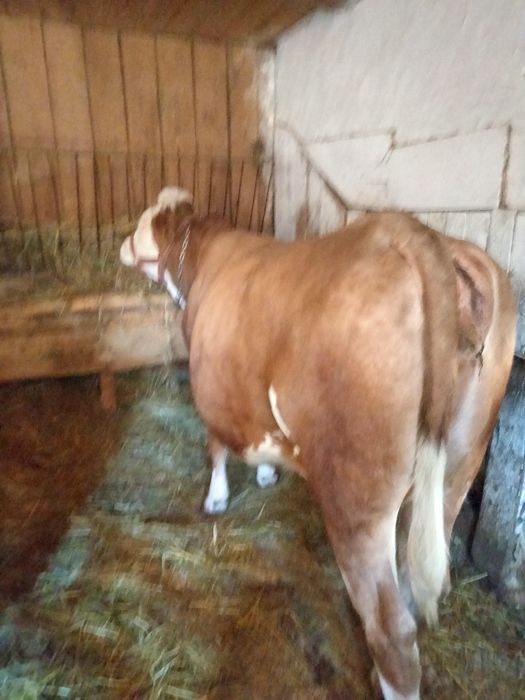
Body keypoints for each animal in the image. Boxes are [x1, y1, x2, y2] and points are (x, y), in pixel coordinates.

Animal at [120, 186, 516, 700]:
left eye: (142, 222)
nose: (121, 244)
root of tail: (412, 233)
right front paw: (267, 472)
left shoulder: (211, 388)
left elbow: (217, 445)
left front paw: (217, 497)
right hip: (458, 468)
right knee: (417, 585)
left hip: (356, 499)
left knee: (392, 627)